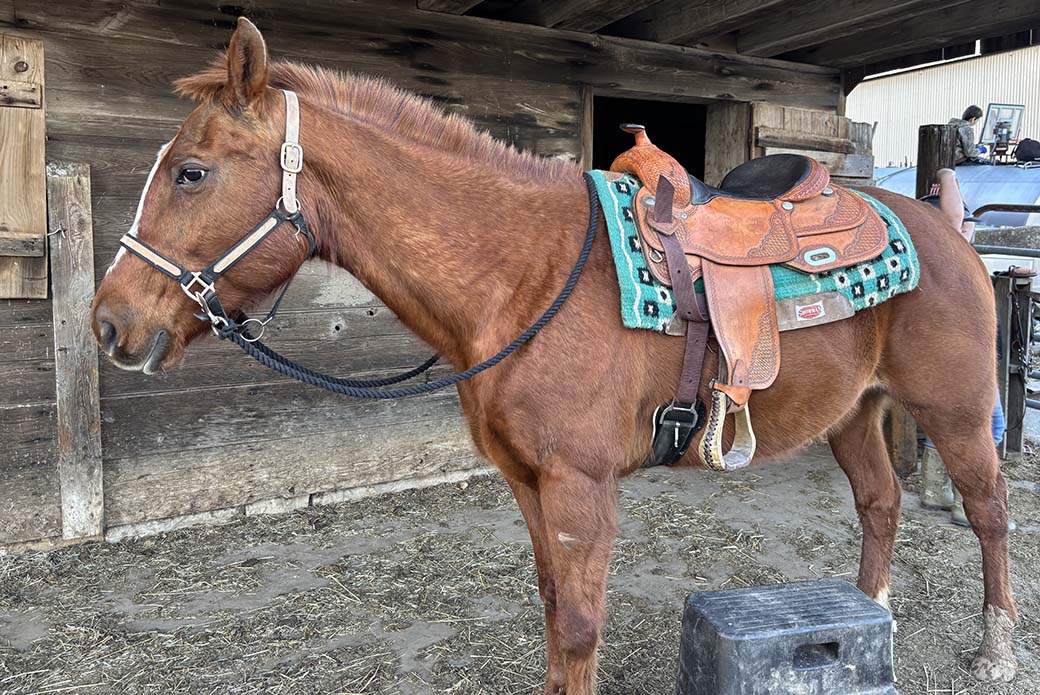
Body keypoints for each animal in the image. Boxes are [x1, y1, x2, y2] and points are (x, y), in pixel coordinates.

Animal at [91, 18, 1016, 694]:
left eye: (191, 172)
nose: (107, 324)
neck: (524, 274)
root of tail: (940, 222)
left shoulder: (580, 485)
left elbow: (577, 623)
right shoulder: (528, 481)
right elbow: (549, 607)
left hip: (958, 413)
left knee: (989, 511)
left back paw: (996, 648)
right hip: (856, 409)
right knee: (880, 504)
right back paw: (867, 612)